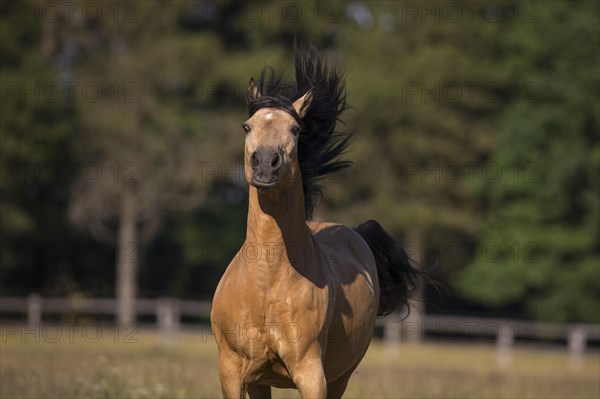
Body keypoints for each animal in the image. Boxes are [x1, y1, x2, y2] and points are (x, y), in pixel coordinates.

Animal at [211, 45, 422, 398]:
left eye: (295, 130)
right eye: (247, 126)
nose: (265, 163)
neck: (266, 282)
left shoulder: (311, 374)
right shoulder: (233, 373)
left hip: (340, 377)